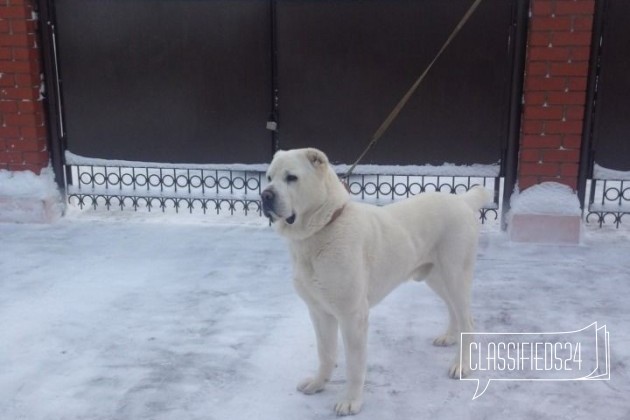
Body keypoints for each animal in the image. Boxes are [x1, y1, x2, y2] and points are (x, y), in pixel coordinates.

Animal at [264, 148, 492, 416]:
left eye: (291, 178)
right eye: (269, 177)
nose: (265, 195)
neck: (323, 228)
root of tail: (462, 201)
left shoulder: (352, 315)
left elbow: (354, 365)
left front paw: (351, 401)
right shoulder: (319, 312)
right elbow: (326, 352)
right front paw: (318, 384)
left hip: (455, 274)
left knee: (468, 319)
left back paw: (461, 365)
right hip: (435, 277)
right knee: (453, 309)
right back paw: (449, 337)